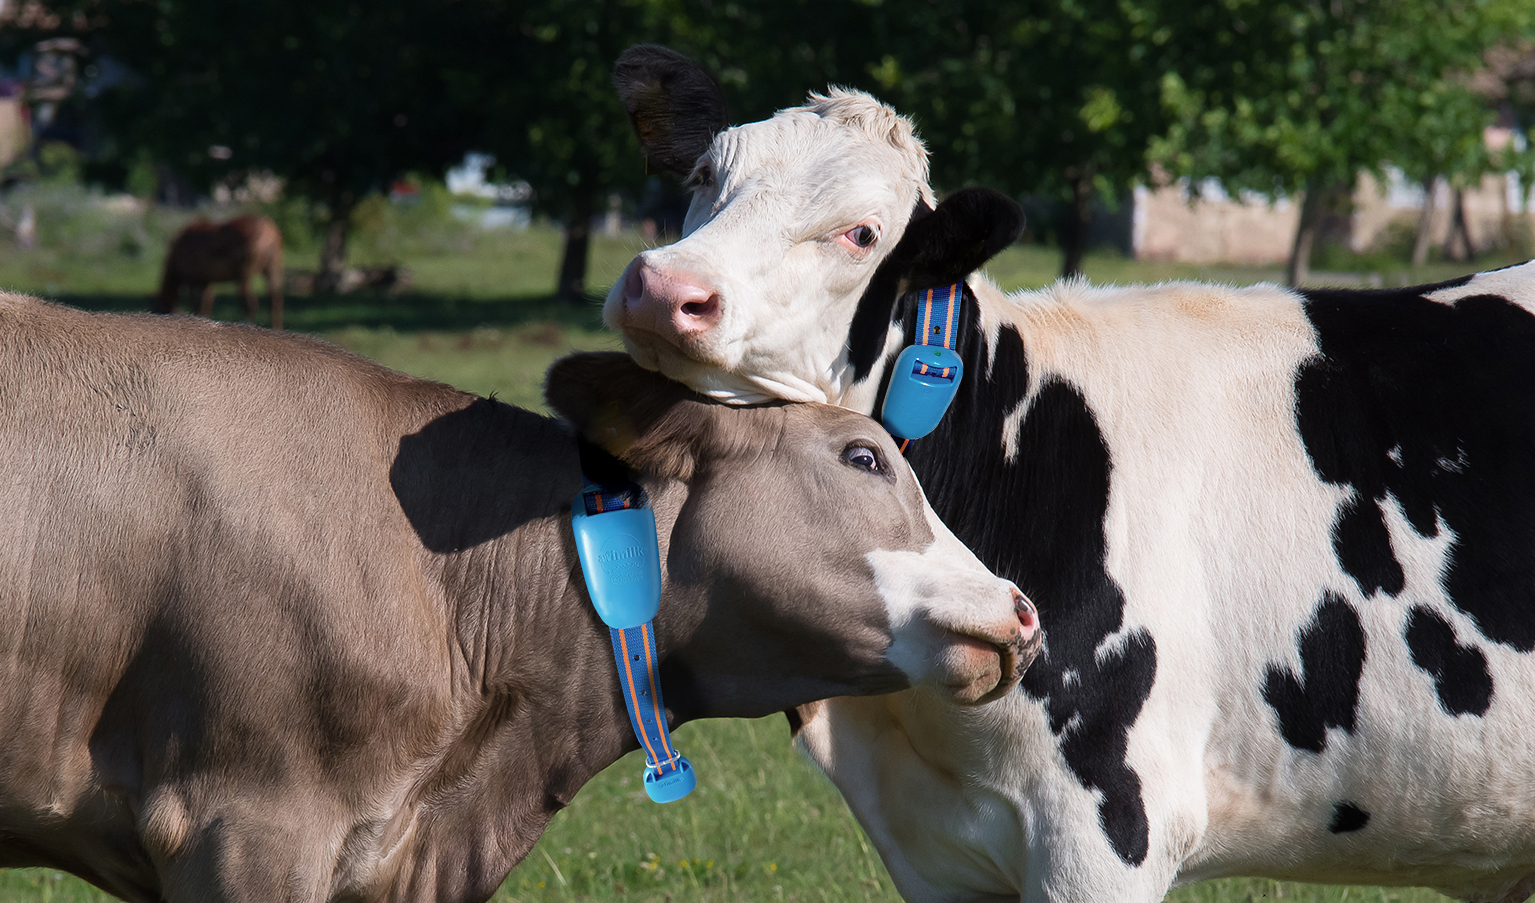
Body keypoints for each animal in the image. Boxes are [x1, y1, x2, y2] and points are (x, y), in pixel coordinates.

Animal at [156, 215, 288, 331]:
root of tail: (269, 231)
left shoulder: (193, 279)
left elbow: (196, 304)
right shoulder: (206, 280)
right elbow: (207, 303)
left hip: (244, 272)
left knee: (250, 304)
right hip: (273, 267)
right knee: (275, 300)